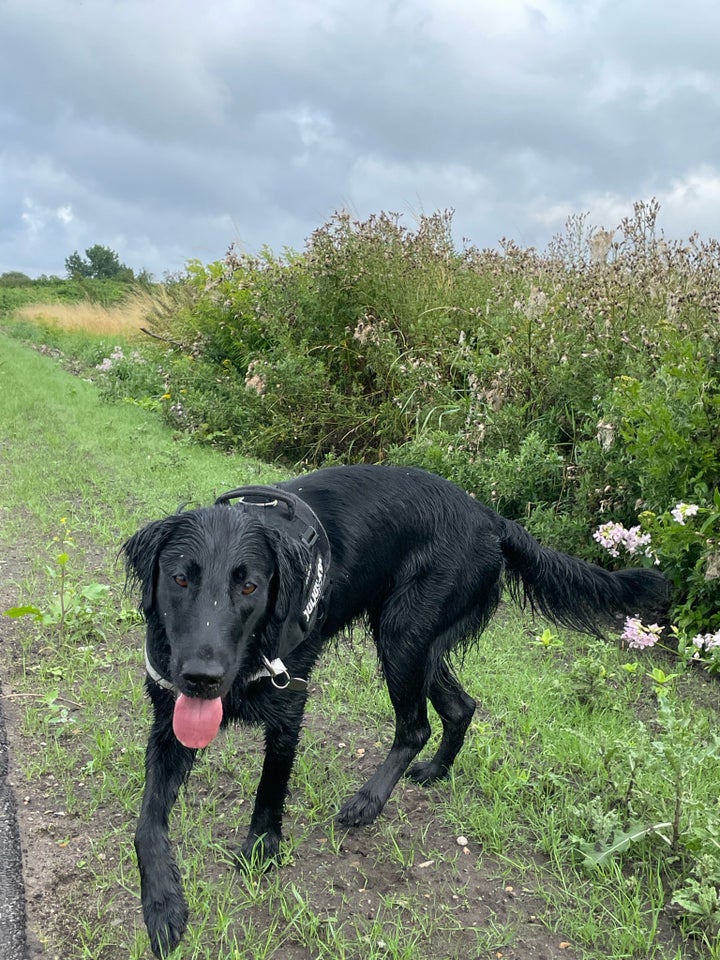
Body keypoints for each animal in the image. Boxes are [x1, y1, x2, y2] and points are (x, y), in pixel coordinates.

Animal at [124, 464, 668, 952]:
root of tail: (491, 518)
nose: (202, 677)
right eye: (179, 579)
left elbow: (269, 791)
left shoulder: (288, 708)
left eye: (250, 586)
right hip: (416, 642)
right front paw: (163, 905)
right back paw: (436, 771)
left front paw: (261, 849)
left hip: (402, 635)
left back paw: (369, 801)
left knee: (415, 727)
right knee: (461, 707)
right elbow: (147, 822)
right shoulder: (169, 720)